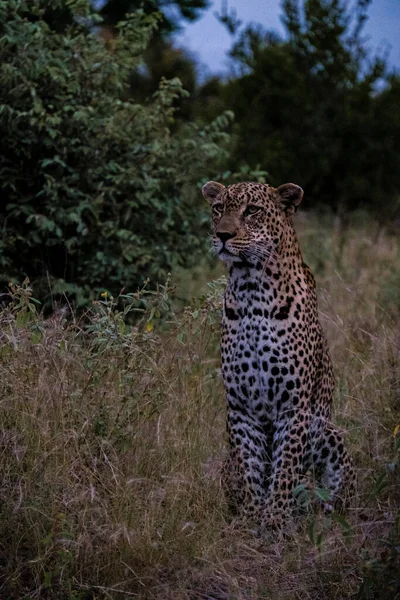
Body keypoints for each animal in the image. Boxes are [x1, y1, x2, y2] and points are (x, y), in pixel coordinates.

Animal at [203, 178, 356, 528]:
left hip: (331, 434)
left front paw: (276, 520)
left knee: (331, 498)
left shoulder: (293, 404)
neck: (251, 292)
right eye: (218, 208)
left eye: (252, 211)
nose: (223, 235)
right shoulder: (240, 405)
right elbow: (249, 467)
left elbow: (285, 466)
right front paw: (251, 518)